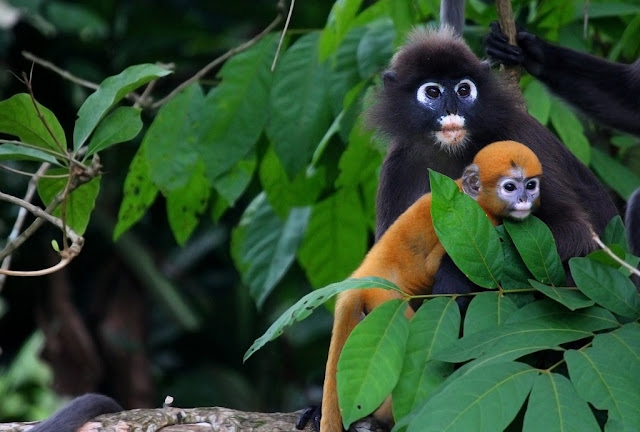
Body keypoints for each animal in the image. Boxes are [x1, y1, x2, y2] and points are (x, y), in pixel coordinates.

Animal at [320, 141, 540, 432]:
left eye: (531, 185)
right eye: (510, 187)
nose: (524, 200)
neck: (472, 197)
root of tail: (362, 276)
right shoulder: (476, 225)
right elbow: (446, 285)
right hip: (387, 301)